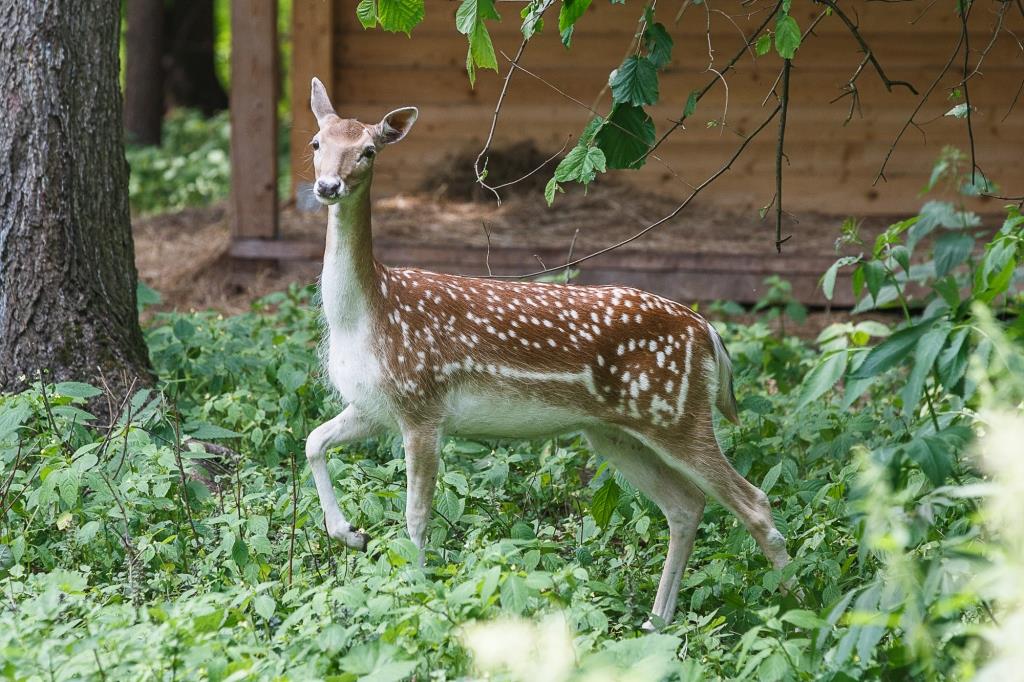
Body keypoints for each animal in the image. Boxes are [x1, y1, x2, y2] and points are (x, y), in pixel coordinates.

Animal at [303, 76, 790, 622]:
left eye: (368, 151)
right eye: (316, 143)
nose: (328, 187)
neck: (366, 315)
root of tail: (709, 333)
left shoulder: (422, 405)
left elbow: (416, 515)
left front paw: (420, 594)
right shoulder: (375, 406)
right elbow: (313, 441)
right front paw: (350, 534)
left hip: (678, 415)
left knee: (753, 501)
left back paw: (799, 607)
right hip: (615, 431)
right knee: (685, 505)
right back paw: (657, 621)